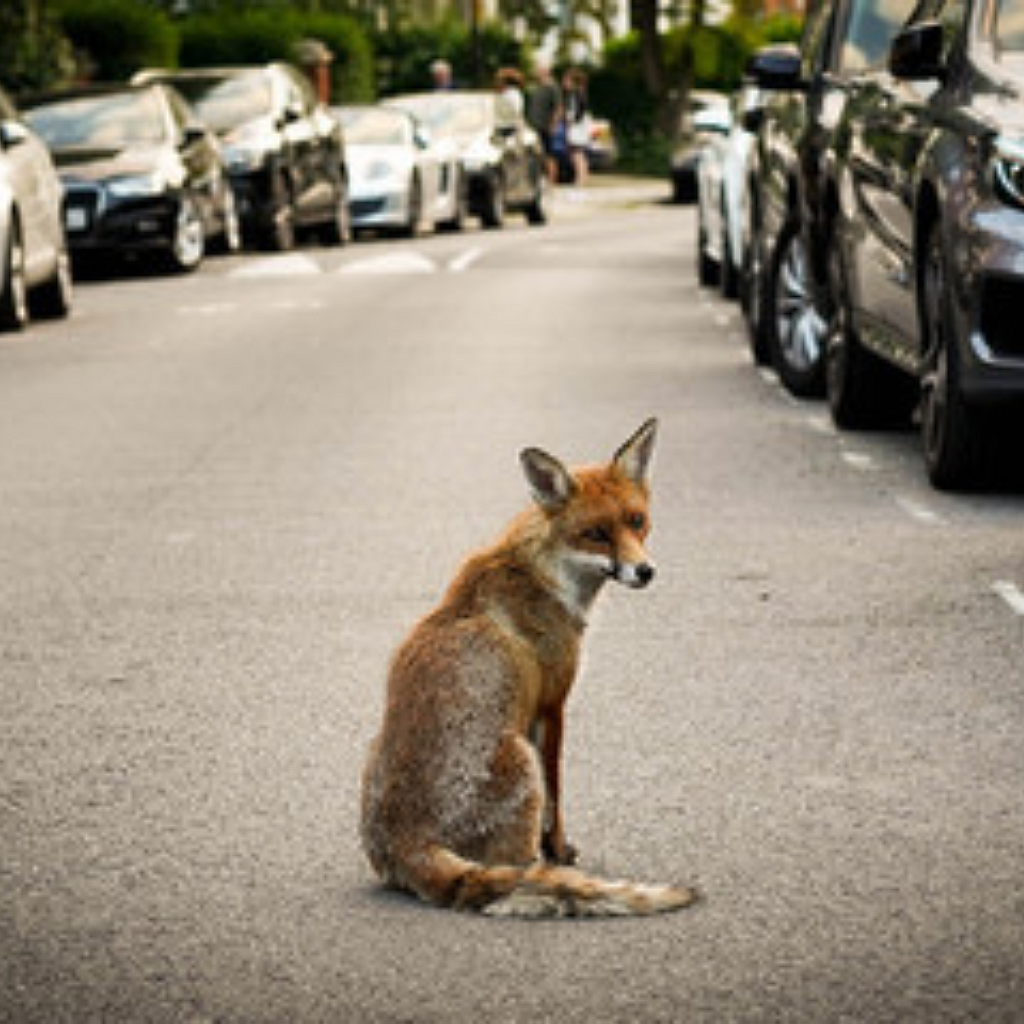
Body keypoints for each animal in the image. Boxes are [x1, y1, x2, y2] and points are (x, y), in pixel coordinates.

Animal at [358, 417, 696, 921]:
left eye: (636, 521)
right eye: (596, 533)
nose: (645, 571)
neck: (545, 577)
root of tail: (408, 843)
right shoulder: (553, 705)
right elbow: (558, 796)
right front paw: (561, 851)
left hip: (373, 750)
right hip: (519, 757)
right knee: (514, 868)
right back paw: (539, 874)